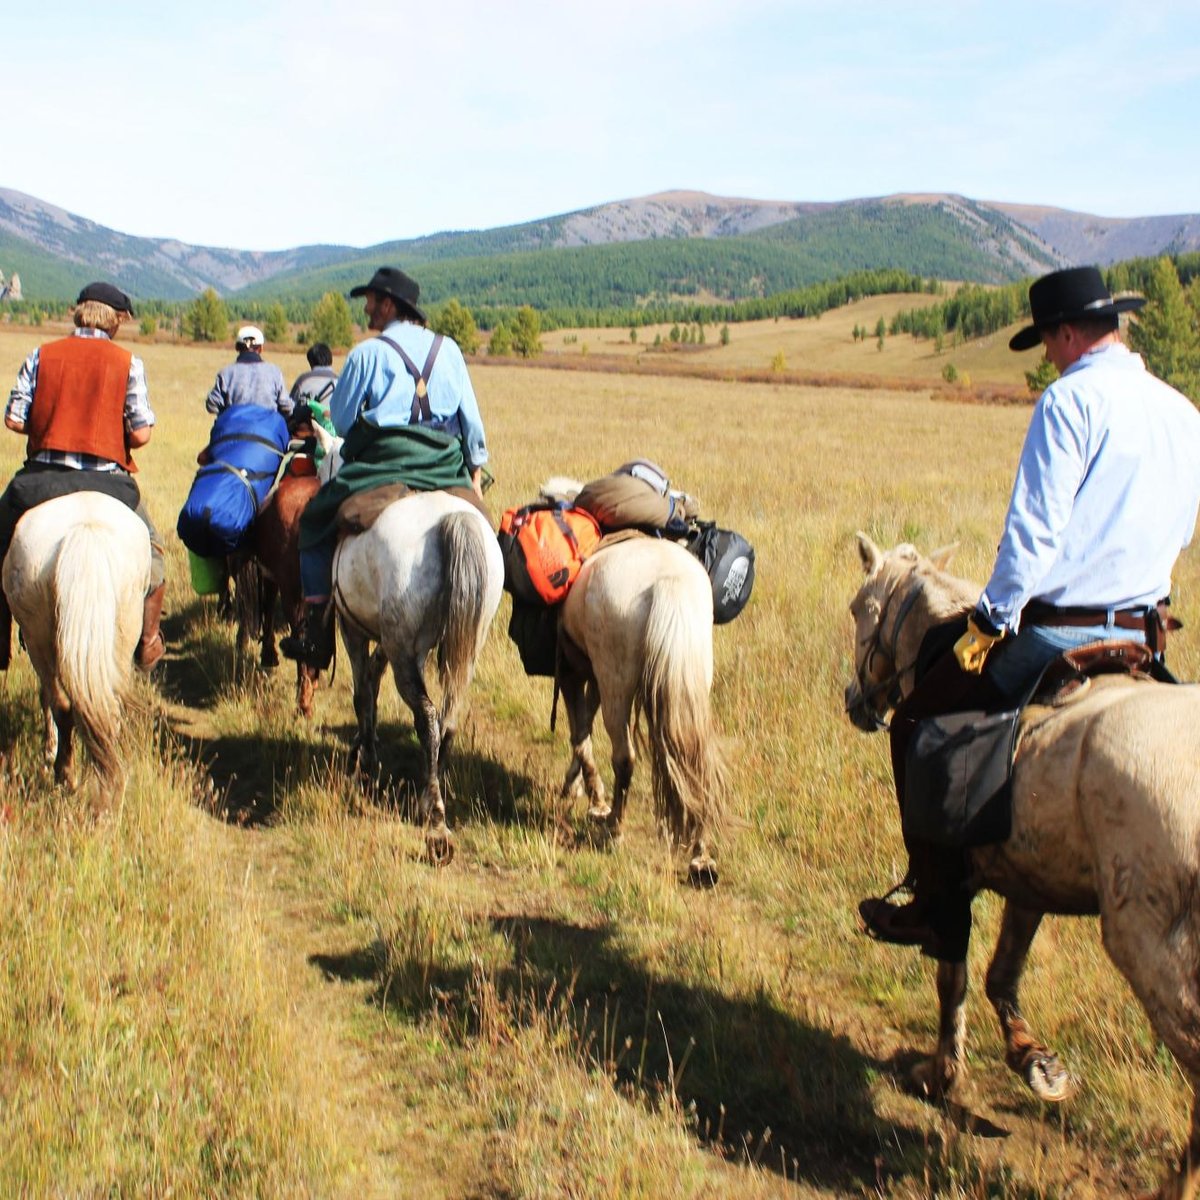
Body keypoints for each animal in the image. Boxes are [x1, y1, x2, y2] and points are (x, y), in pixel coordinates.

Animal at [1, 492, 150, 801]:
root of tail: (85, 529)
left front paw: (49, 751)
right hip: (120, 637)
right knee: (103, 708)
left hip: (38, 639)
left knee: (61, 703)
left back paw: (65, 774)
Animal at [331, 489, 504, 864]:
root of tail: (449, 519)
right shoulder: (391, 643)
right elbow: (372, 678)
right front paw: (365, 744)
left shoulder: (353, 628)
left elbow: (361, 692)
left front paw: (366, 758)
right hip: (466, 647)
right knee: (447, 720)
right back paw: (429, 795)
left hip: (405, 652)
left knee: (426, 719)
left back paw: (437, 825)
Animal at [556, 532, 724, 883]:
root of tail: (668, 582)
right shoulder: (594, 676)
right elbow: (584, 725)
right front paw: (582, 789)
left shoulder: (573, 670)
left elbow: (579, 731)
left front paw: (591, 798)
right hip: (691, 682)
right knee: (697, 760)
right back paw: (702, 858)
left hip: (616, 681)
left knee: (624, 757)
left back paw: (614, 829)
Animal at [844, 537, 1200, 1200]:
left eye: (860, 609)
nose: (857, 704)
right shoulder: (1032, 876)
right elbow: (1000, 974)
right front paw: (1032, 1060)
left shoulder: (955, 879)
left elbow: (952, 971)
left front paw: (941, 1073)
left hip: (1153, 951)